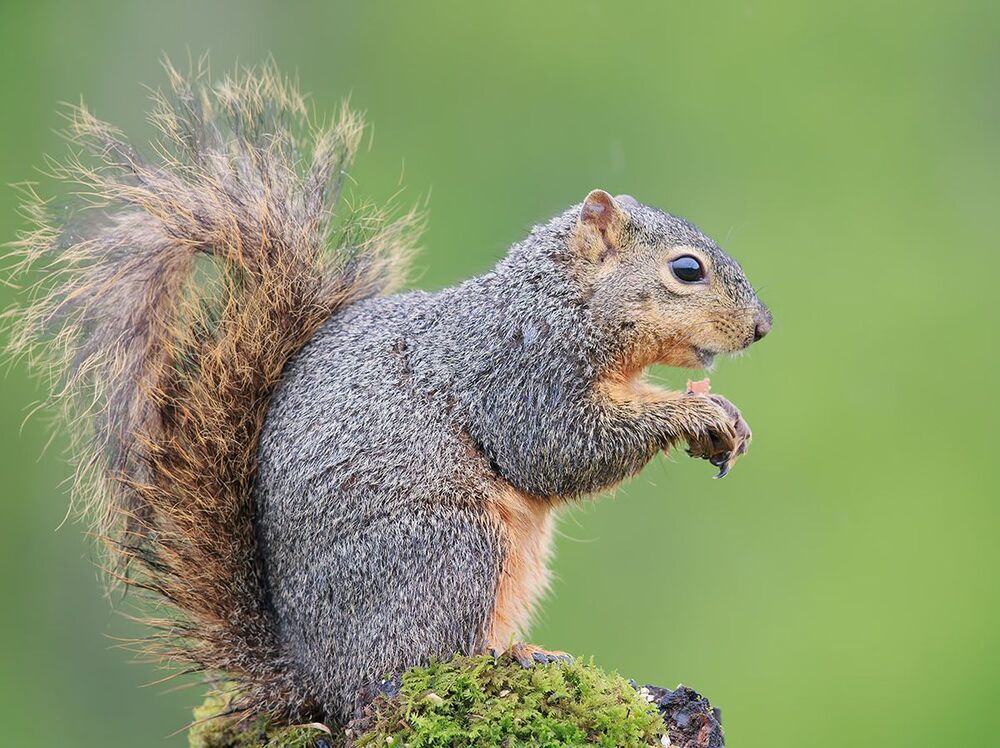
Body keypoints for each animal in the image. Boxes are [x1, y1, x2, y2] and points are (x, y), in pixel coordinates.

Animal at [8, 62, 771, 729]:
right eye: (686, 270)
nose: (763, 327)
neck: (561, 301)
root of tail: (311, 676)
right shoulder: (518, 375)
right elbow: (559, 450)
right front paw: (693, 412)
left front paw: (727, 418)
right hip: (451, 548)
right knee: (413, 667)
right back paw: (502, 660)